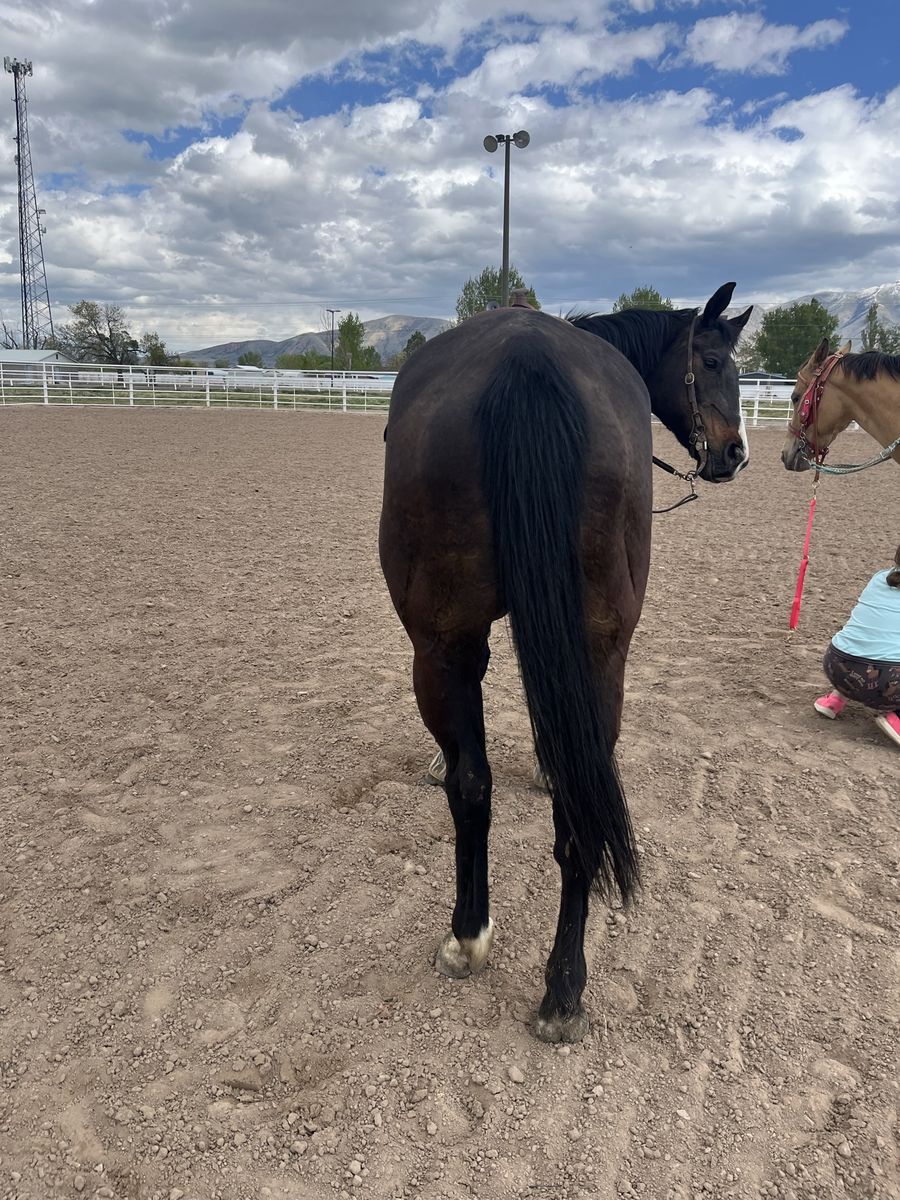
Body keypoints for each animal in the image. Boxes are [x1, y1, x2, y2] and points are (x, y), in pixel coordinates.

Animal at [379, 282, 751, 1043]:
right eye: (712, 360)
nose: (735, 453)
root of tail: (528, 360)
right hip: (589, 649)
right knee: (551, 800)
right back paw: (561, 986)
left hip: (443, 646)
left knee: (476, 784)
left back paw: (475, 940)